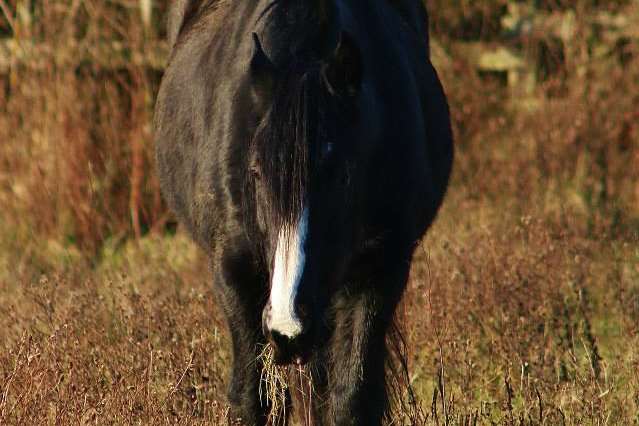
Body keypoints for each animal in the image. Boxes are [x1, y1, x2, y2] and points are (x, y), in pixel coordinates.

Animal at [155, 0, 456, 422]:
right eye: (255, 171)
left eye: (342, 174)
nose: (288, 327)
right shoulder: (234, 270)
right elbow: (253, 398)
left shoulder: (381, 268)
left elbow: (350, 396)